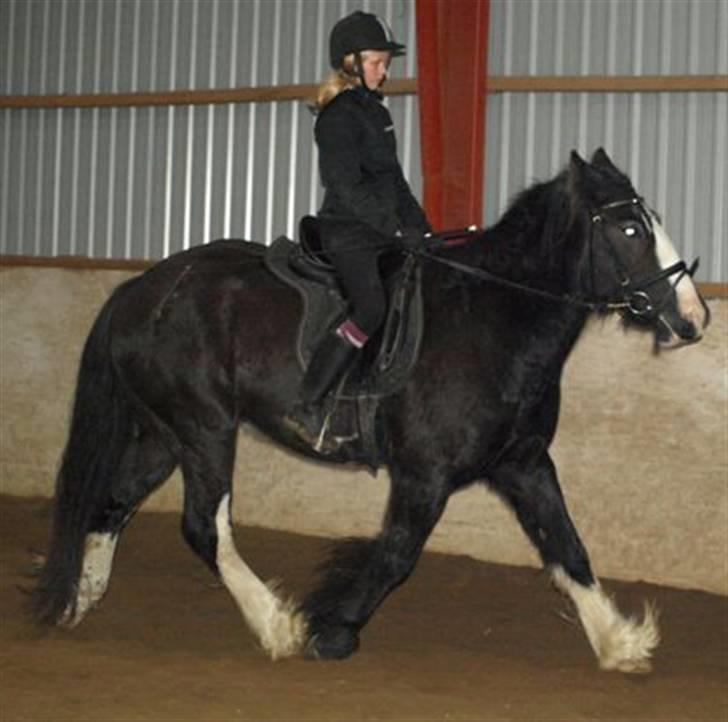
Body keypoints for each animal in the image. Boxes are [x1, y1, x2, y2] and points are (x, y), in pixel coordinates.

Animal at [34, 149, 712, 672]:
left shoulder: (524, 463)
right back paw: (275, 625)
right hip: (204, 430)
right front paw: (328, 629)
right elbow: (395, 555)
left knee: (113, 502)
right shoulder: (425, 476)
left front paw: (619, 641)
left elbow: (568, 547)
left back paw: (77, 601)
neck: (493, 318)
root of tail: (140, 289)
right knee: (204, 525)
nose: (694, 319)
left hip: (163, 433)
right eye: (630, 230)